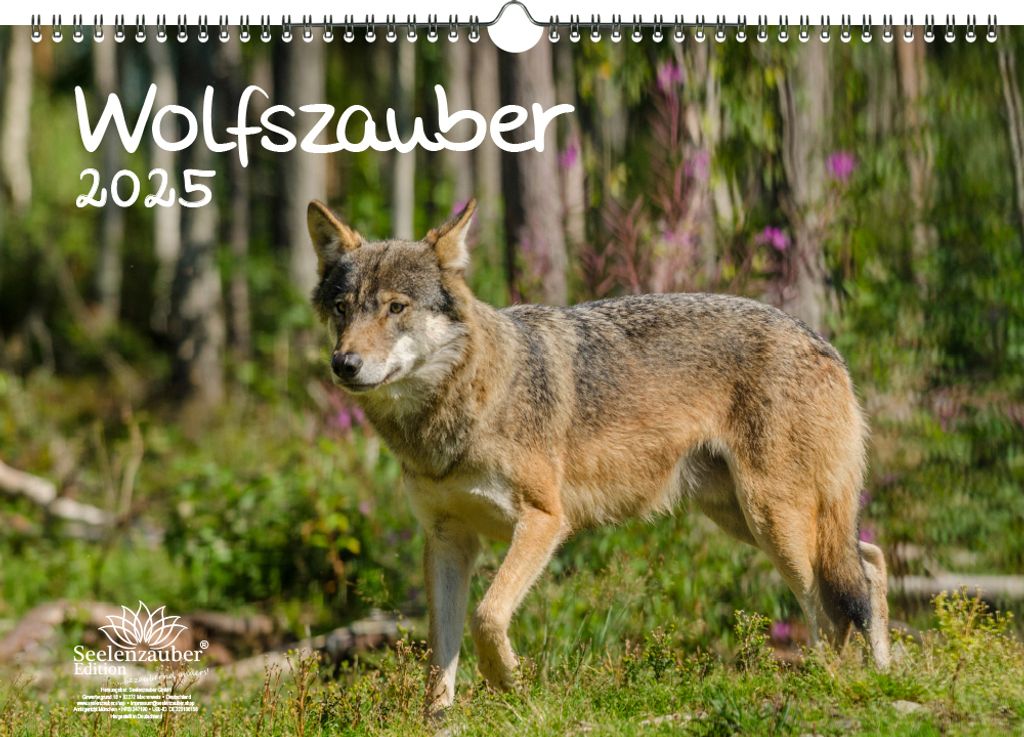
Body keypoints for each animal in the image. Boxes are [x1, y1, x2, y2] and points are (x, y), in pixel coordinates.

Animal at [307, 198, 891, 716]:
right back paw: (886, 673)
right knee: (871, 562)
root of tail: (825, 345)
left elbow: (487, 618)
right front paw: (438, 719)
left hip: (774, 521)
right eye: (342, 308)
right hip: (743, 517)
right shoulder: (448, 538)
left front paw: (512, 688)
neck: (458, 409)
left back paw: (828, 683)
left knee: (834, 603)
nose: (344, 364)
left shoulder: (544, 520)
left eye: (395, 307)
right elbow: (441, 649)